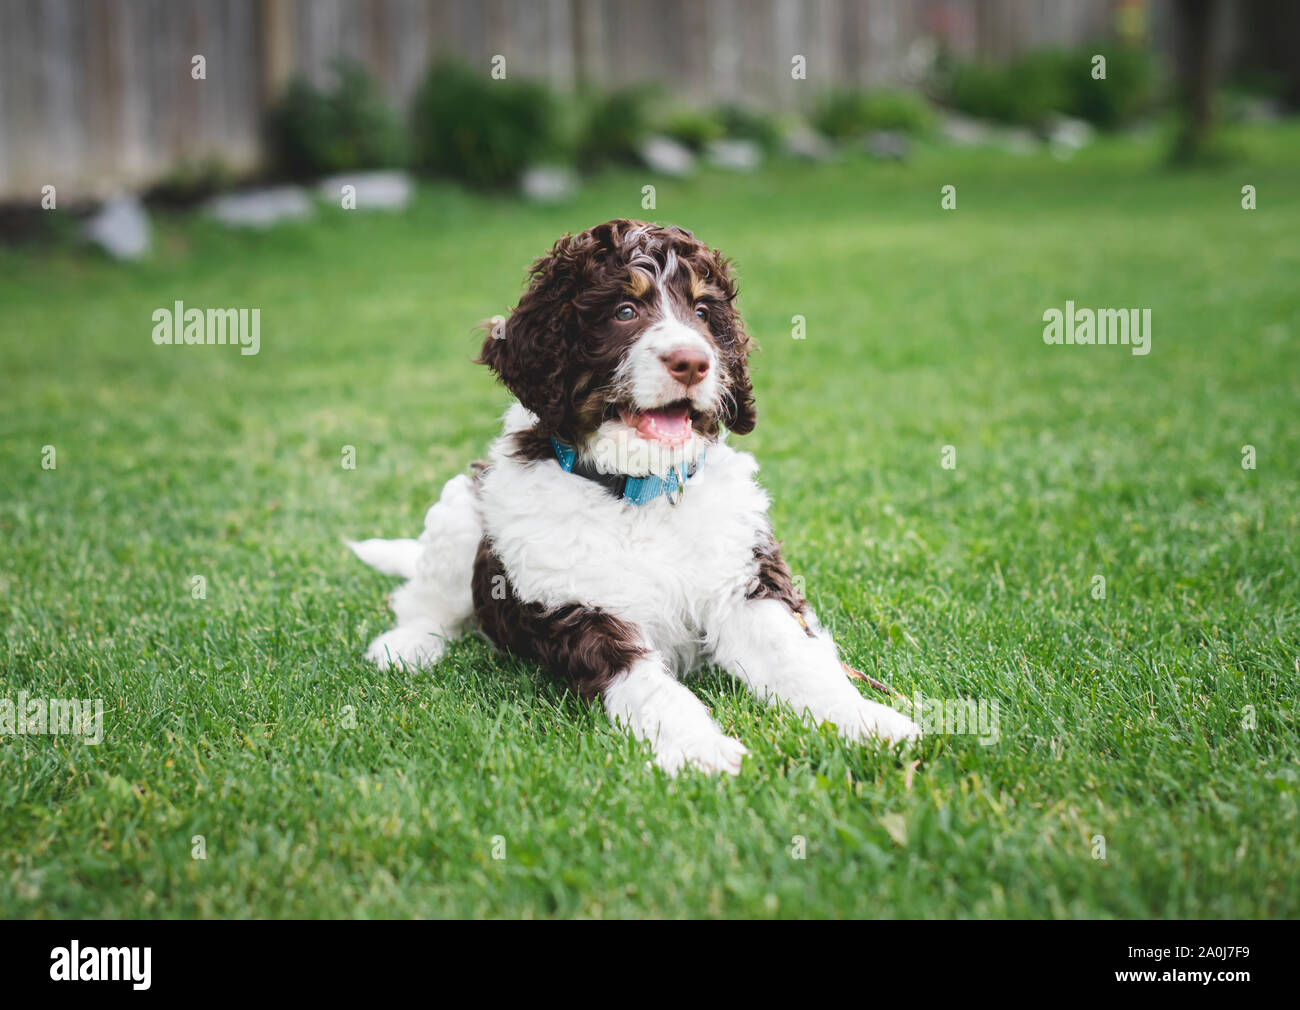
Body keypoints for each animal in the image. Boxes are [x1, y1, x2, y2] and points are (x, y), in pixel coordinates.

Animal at [351, 220, 920, 774]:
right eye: (624, 311)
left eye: (701, 313)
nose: (692, 362)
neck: (640, 490)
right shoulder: (579, 610)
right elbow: (649, 687)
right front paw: (699, 749)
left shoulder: (743, 580)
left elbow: (796, 658)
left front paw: (867, 721)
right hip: (462, 511)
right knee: (426, 600)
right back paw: (404, 646)